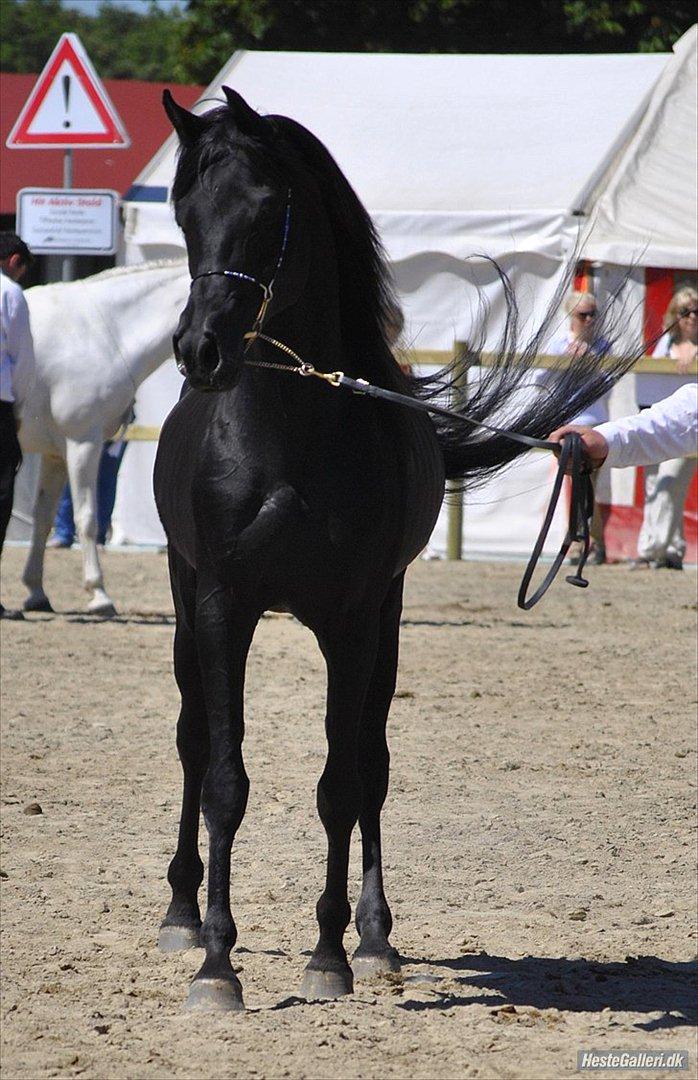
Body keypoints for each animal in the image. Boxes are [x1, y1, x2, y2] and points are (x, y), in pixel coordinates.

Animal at [20, 258, 190, 617]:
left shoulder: (55, 453)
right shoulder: (83, 442)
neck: (103, 331)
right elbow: (87, 518)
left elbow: (43, 519)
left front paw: (36, 592)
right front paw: (99, 594)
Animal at [155, 86, 635, 1010]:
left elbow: (343, 783)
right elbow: (226, 779)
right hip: (184, 603)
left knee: (372, 762)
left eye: (264, 207)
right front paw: (216, 965)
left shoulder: (352, 619)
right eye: (183, 211)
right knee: (194, 744)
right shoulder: (223, 605)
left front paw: (331, 956)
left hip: (386, 623)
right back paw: (181, 916)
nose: (200, 351)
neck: (290, 438)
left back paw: (375, 938)